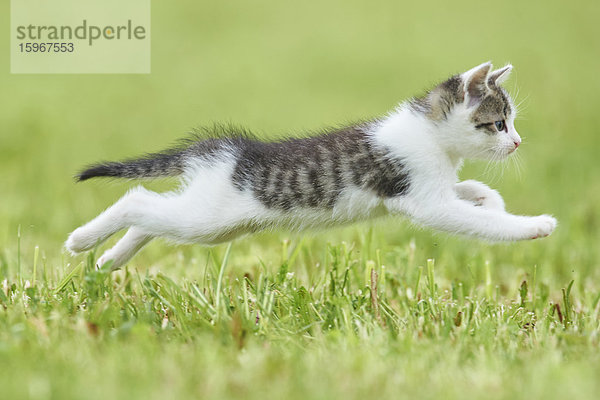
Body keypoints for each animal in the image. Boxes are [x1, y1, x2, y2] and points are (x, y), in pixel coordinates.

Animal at [65, 61, 556, 268]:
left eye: (511, 122)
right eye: (497, 123)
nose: (516, 142)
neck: (432, 136)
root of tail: (217, 149)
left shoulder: (431, 188)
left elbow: (471, 192)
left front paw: (487, 198)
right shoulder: (424, 201)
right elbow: (481, 224)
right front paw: (533, 225)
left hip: (212, 222)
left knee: (152, 217)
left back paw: (110, 258)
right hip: (209, 217)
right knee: (137, 200)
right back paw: (83, 240)